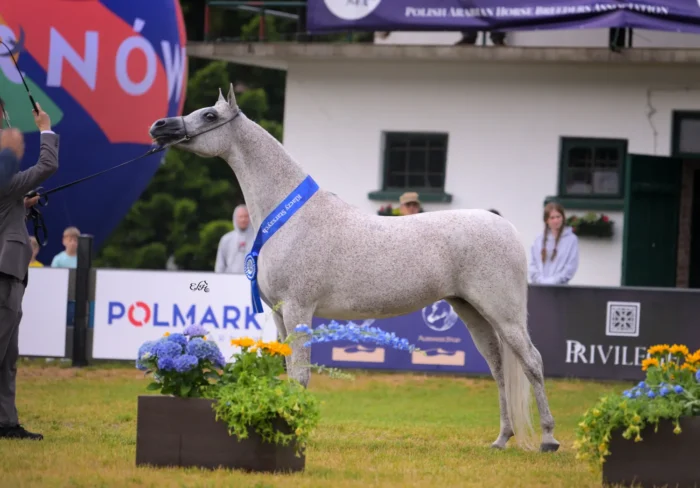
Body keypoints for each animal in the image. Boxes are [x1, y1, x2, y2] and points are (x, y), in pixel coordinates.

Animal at [148, 84, 560, 453]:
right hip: (471, 310)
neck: (292, 217)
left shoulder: (299, 309)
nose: (159, 126)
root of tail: (507, 228)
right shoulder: (280, 313)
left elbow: (301, 375)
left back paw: (549, 439)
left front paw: (295, 429)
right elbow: (288, 371)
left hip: (503, 313)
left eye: (210, 116)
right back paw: (502, 438)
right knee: (498, 367)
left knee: (532, 362)